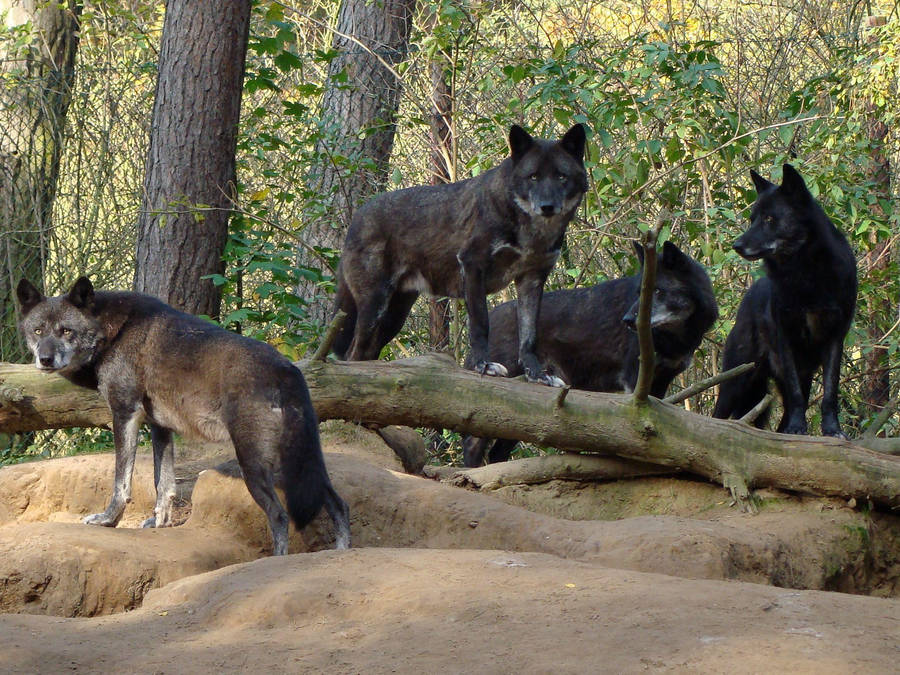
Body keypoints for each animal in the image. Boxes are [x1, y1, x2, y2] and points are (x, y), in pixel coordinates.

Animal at [17, 277, 351, 555]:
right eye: (38, 331)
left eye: (66, 331)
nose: (44, 359)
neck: (113, 332)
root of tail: (287, 370)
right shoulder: (159, 426)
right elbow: (163, 483)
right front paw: (159, 523)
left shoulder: (124, 414)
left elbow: (121, 482)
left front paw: (108, 520)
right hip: (301, 463)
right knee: (339, 505)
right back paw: (342, 553)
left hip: (256, 465)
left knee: (280, 517)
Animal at [332, 123, 588, 386]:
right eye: (533, 177)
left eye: (561, 176)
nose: (547, 207)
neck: (531, 232)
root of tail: (356, 218)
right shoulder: (473, 266)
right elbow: (480, 325)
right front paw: (483, 365)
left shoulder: (532, 280)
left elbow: (529, 337)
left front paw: (537, 375)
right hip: (375, 305)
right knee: (352, 354)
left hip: (393, 317)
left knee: (365, 354)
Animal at [462, 240, 718, 466]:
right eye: (640, 292)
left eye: (657, 291)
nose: (626, 320)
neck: (676, 338)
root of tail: (492, 315)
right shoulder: (634, 381)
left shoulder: (661, 383)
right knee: (472, 445)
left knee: (496, 453)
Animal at [712, 164, 857, 438]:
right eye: (752, 220)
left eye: (770, 219)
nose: (736, 245)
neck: (805, 274)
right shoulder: (786, 339)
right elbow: (796, 393)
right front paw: (798, 429)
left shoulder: (835, 338)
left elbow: (830, 393)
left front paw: (832, 430)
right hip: (737, 379)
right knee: (716, 415)